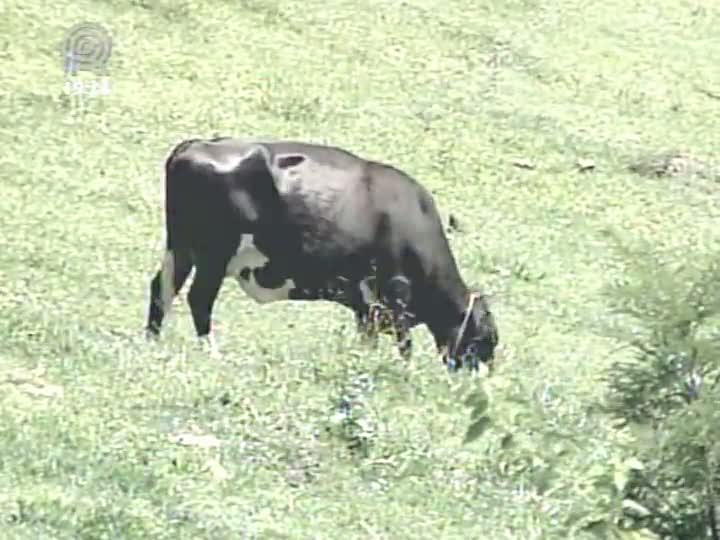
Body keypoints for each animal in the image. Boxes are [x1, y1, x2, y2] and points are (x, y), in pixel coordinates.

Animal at [143, 137, 498, 372]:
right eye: (485, 340)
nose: (476, 377)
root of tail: (195, 145)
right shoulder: (395, 296)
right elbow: (404, 345)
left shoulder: (367, 305)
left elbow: (368, 338)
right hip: (213, 254)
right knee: (198, 298)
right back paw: (212, 354)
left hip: (180, 248)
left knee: (162, 288)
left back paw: (152, 343)